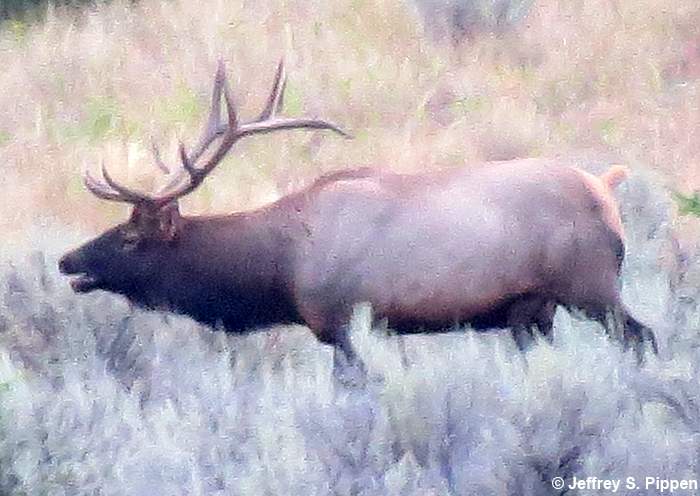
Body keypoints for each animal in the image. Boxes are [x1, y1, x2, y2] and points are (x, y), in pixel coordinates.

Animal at [59, 59, 658, 386]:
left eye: (129, 238)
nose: (67, 260)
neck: (280, 268)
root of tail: (606, 189)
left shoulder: (342, 322)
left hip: (590, 287)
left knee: (642, 336)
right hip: (532, 313)